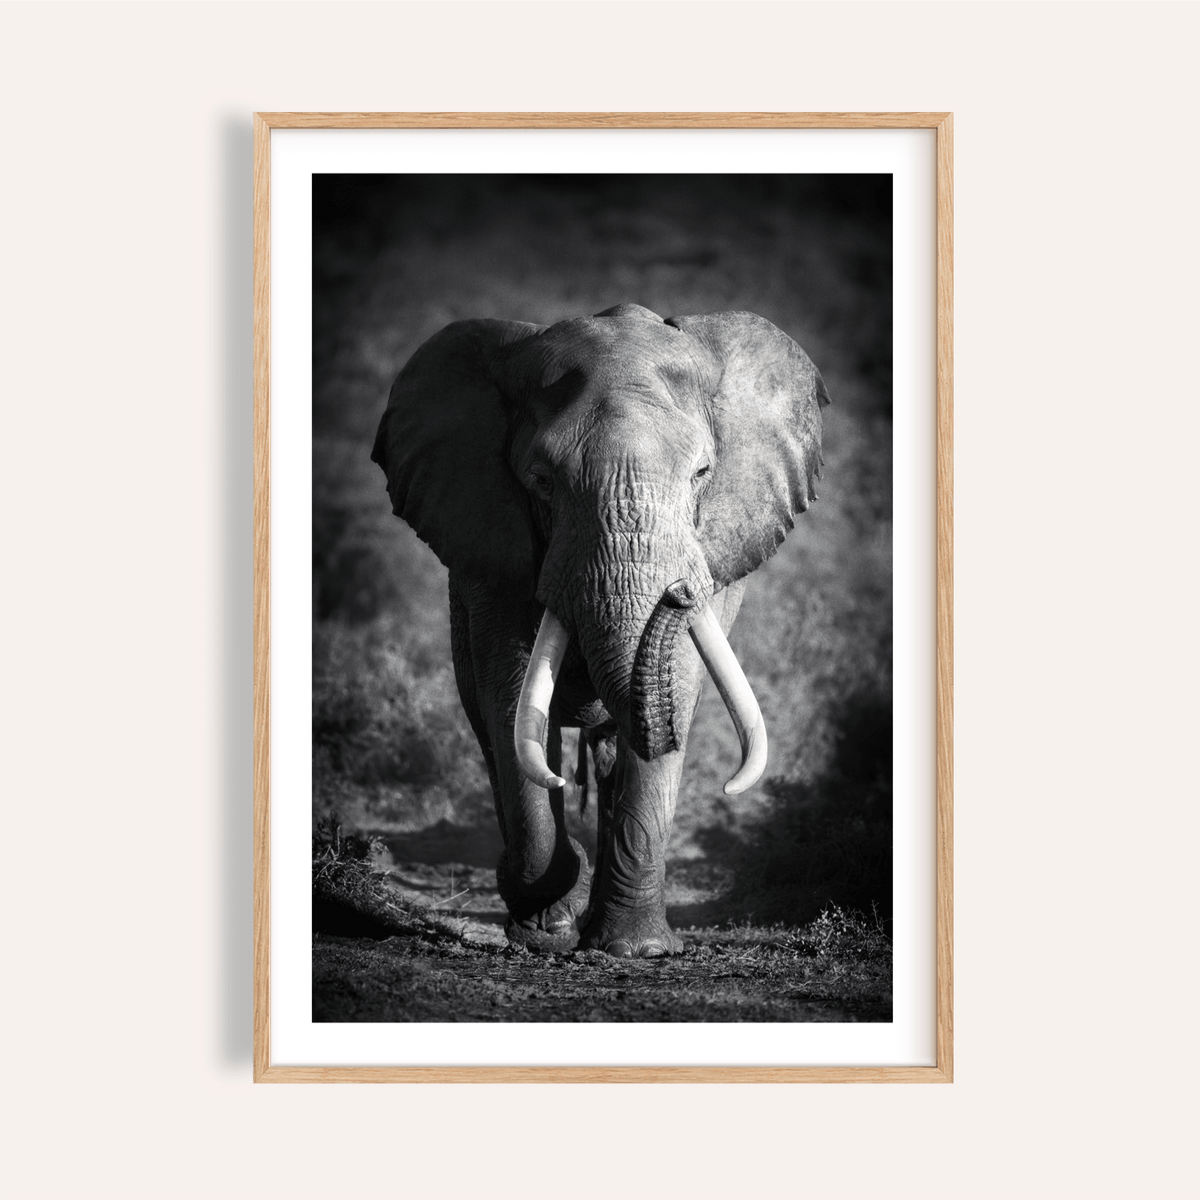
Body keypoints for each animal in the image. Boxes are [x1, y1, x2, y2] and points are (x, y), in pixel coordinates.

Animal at [371, 303, 829, 957]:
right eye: (541, 480)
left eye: (702, 474)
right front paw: (544, 931)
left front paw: (636, 950)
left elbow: (677, 688)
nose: (679, 591)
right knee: (491, 730)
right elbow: (510, 696)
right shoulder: (491, 552)